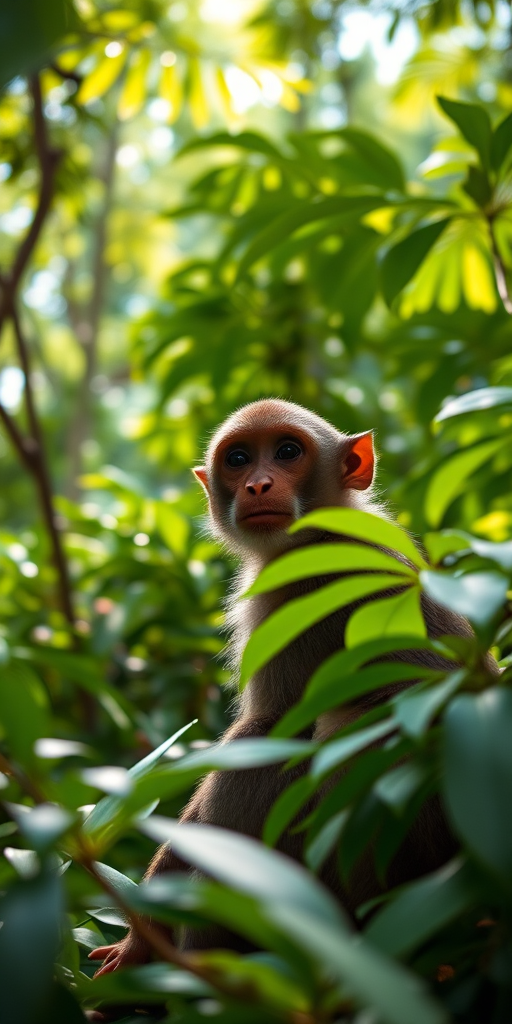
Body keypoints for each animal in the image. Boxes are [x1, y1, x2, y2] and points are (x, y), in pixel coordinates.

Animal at [89, 398, 486, 976]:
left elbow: (267, 733)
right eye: (237, 459)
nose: (258, 484)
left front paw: (146, 933)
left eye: (287, 452)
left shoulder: (297, 596)